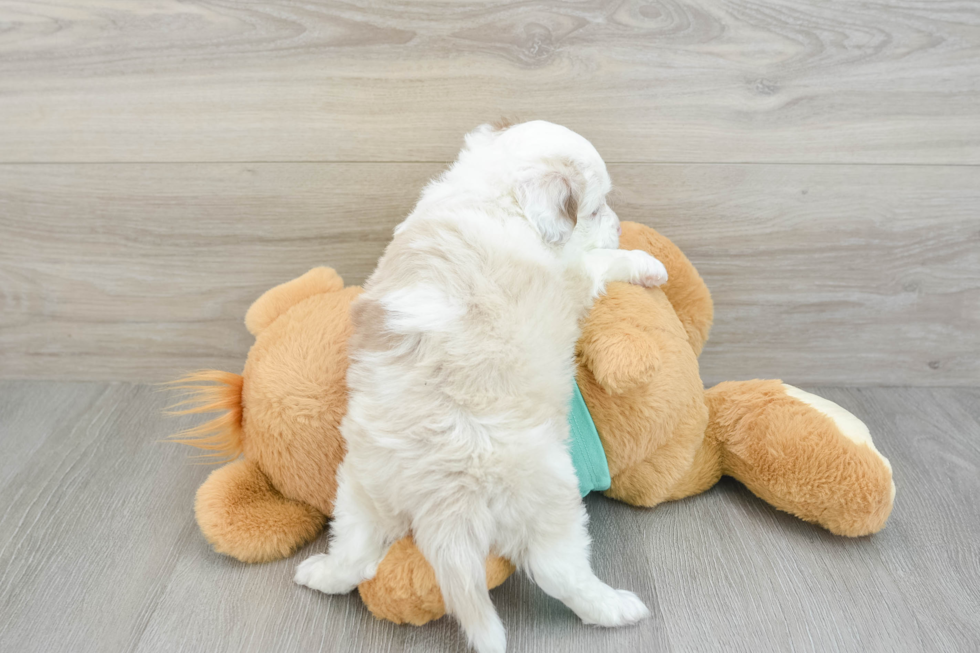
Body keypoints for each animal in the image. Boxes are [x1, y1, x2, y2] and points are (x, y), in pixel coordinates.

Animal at [294, 119, 668, 648]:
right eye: (595, 209)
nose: (617, 225)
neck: (494, 194)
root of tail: (445, 501)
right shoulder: (568, 277)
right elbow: (598, 264)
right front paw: (645, 262)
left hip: (361, 489)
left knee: (357, 557)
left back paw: (319, 574)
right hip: (550, 495)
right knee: (558, 571)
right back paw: (615, 608)